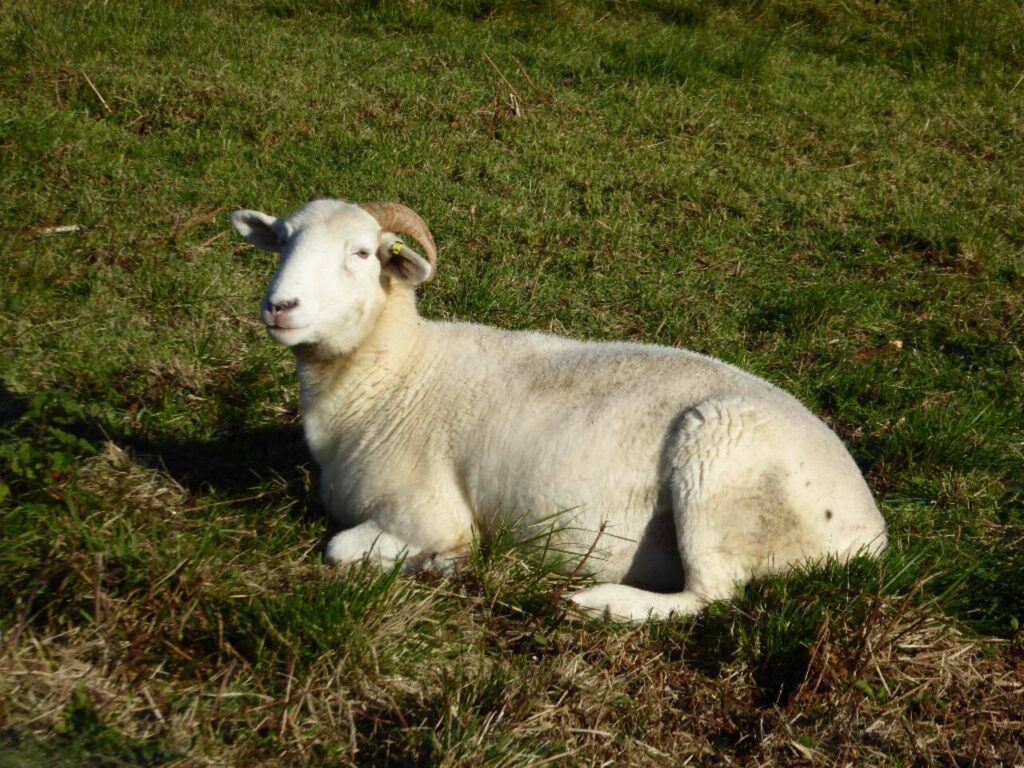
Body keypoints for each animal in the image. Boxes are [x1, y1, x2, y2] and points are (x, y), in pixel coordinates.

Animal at [231, 198, 887, 622]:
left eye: (363, 253)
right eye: (282, 240)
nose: (280, 306)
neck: (394, 378)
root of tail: (869, 531)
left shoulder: (428, 515)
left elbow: (341, 549)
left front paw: (446, 566)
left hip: (718, 469)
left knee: (709, 596)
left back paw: (598, 602)